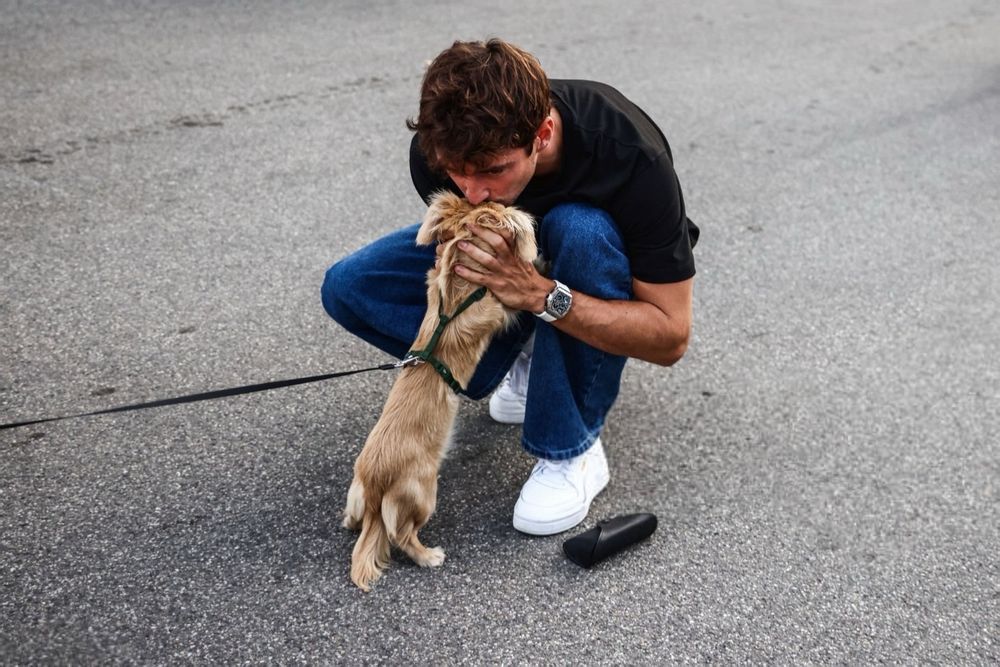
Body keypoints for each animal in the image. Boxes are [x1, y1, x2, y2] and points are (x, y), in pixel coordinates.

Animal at [343, 191, 538, 591]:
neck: (458, 294)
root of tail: (374, 488)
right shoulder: (501, 305)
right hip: (423, 493)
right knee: (401, 534)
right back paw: (429, 556)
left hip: (357, 494)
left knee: (356, 521)